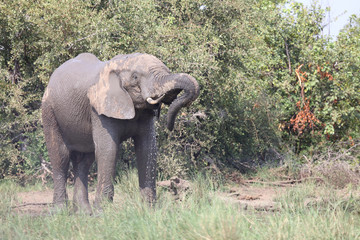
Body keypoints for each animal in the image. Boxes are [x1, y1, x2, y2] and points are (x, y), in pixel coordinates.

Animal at [43, 53, 200, 214]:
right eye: (135, 77)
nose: (170, 126)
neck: (119, 64)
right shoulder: (99, 108)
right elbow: (108, 150)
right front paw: (102, 213)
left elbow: (147, 149)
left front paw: (149, 210)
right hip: (49, 111)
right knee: (60, 157)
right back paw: (59, 212)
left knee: (84, 161)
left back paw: (84, 213)